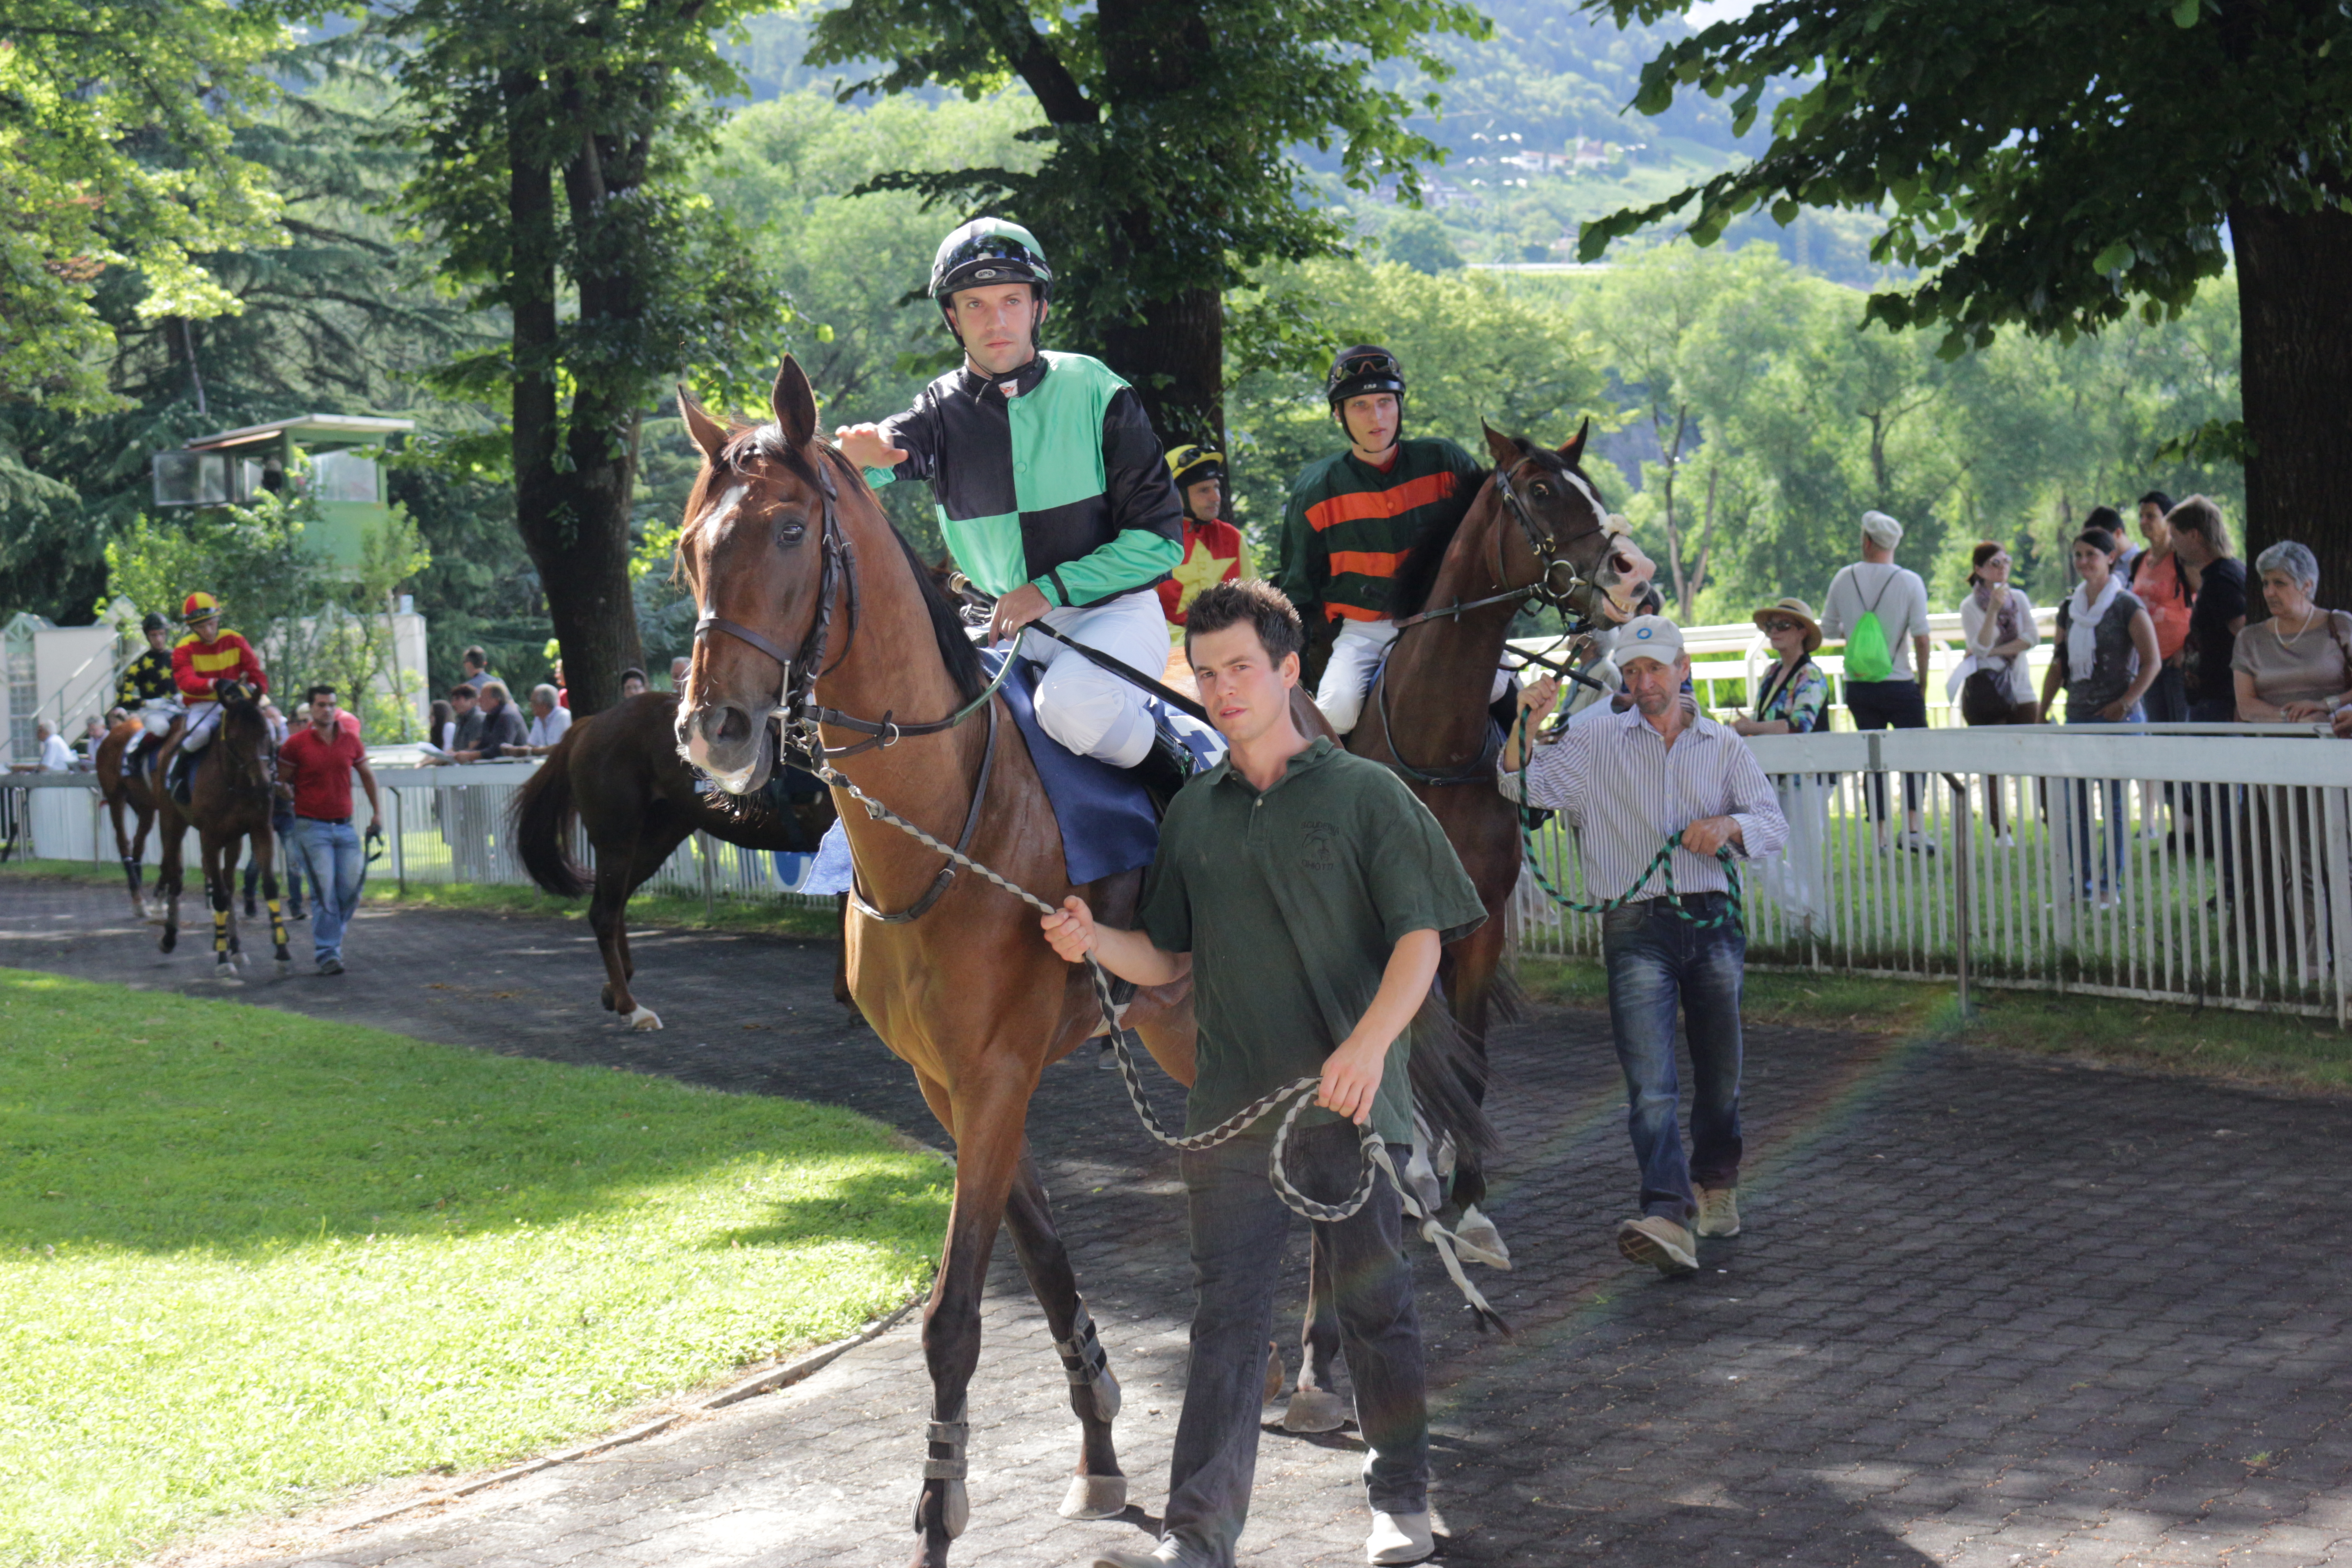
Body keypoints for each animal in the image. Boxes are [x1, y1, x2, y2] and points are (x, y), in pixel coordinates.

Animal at [154, 681, 294, 982]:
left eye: (266, 734)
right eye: (236, 738)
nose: (264, 785)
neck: (236, 781)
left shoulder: (260, 829)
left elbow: (268, 887)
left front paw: (282, 952)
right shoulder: (208, 838)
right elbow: (217, 895)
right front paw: (221, 958)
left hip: (233, 841)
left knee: (229, 884)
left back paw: (237, 947)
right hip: (172, 824)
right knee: (175, 874)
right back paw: (170, 937)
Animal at [510, 696, 842, 1034]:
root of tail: (591, 723)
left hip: (657, 837)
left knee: (616, 905)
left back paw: (616, 990)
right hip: (617, 839)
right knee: (605, 914)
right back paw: (632, 1007)